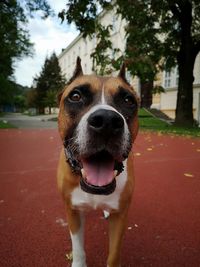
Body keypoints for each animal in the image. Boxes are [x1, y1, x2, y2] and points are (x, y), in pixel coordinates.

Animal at [57, 57, 139, 266]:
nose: (107, 121)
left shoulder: (120, 217)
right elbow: (78, 249)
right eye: (75, 96)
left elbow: (114, 254)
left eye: (128, 100)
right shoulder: (72, 211)